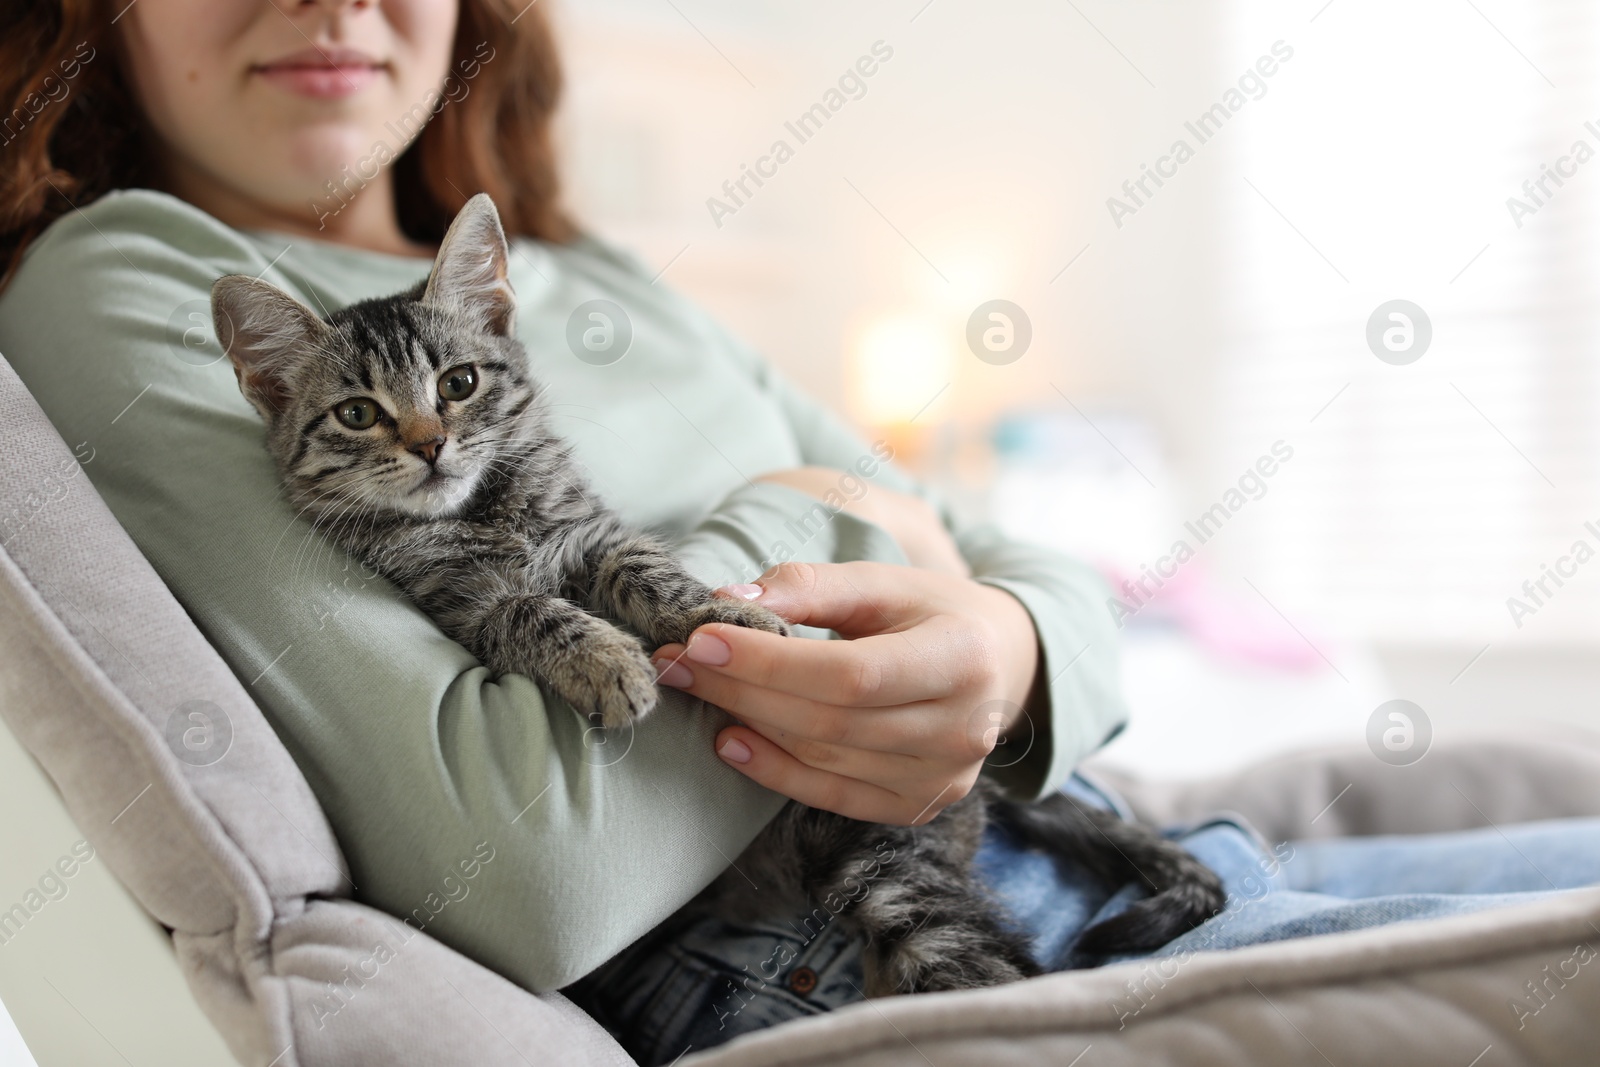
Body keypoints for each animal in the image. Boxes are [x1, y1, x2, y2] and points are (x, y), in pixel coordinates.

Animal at [212, 194, 1222, 1004]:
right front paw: (607, 661)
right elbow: (529, 611)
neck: (488, 508)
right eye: (358, 413)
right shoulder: (456, 598)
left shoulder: (596, 533)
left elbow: (655, 575)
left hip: (882, 855)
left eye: (458, 384)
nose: (428, 445)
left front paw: (733, 616)